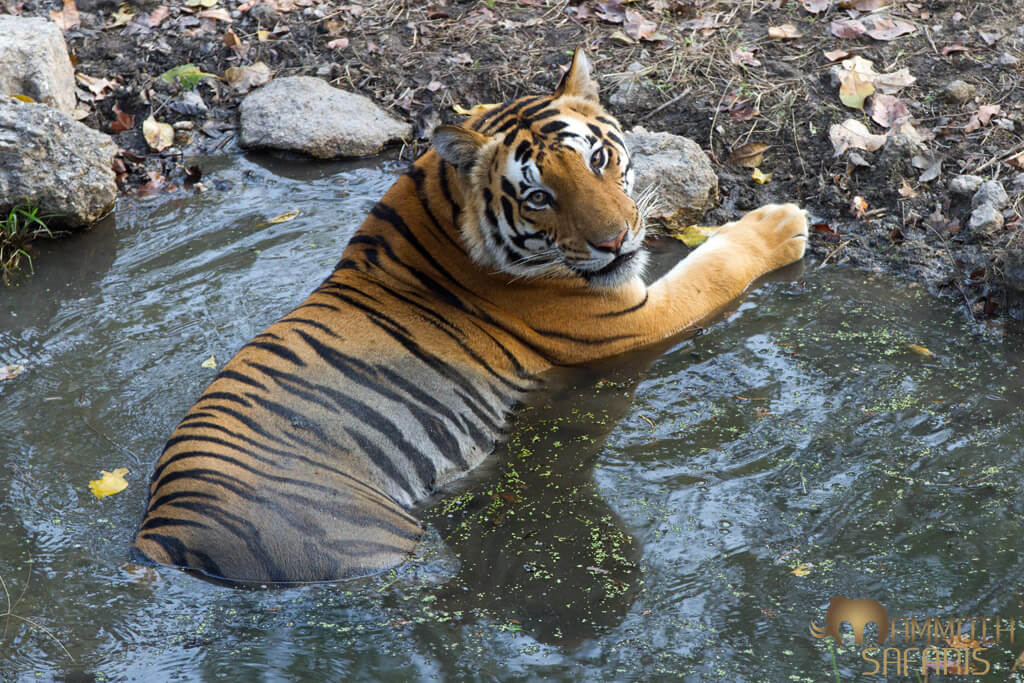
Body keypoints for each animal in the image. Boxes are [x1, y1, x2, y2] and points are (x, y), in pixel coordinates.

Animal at [132, 48, 808, 584]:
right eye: (538, 197)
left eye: (597, 161)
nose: (616, 241)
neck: (441, 207)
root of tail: (161, 536)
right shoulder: (632, 317)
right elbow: (714, 269)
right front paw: (780, 225)